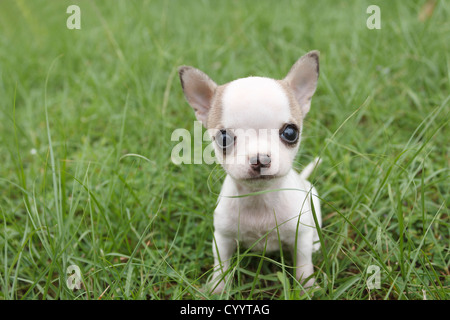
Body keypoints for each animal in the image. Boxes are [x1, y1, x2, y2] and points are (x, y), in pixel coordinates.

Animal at [178, 51, 322, 294]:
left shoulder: (300, 234)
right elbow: (221, 265)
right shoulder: (222, 239)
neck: (259, 199)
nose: (260, 158)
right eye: (223, 138)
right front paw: (217, 289)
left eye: (290, 133)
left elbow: (303, 265)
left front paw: (306, 288)